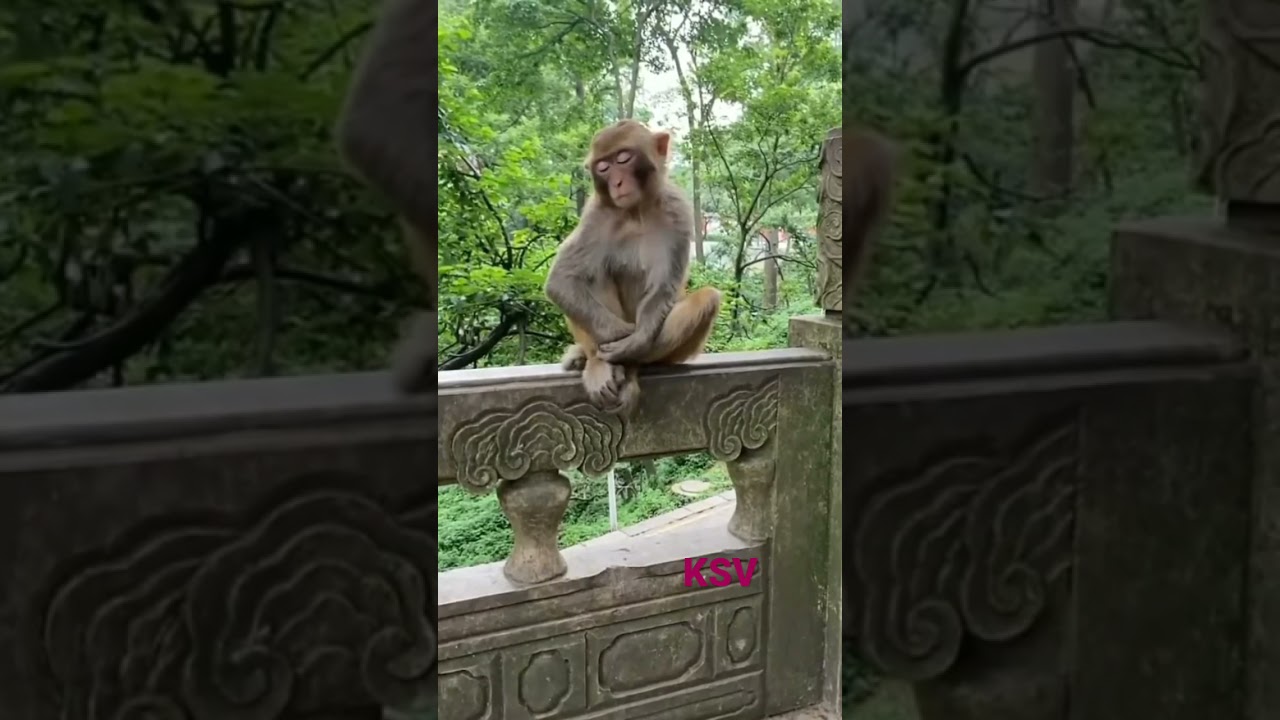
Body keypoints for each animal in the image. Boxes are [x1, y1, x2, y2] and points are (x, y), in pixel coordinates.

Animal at [545, 120, 722, 415]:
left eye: (623, 159)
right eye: (603, 168)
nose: (616, 182)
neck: (636, 210)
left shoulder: (677, 210)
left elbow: (663, 287)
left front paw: (632, 345)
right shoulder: (596, 214)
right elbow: (561, 280)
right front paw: (618, 340)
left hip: (675, 354)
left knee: (708, 298)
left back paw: (629, 367)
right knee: (589, 274)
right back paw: (597, 363)